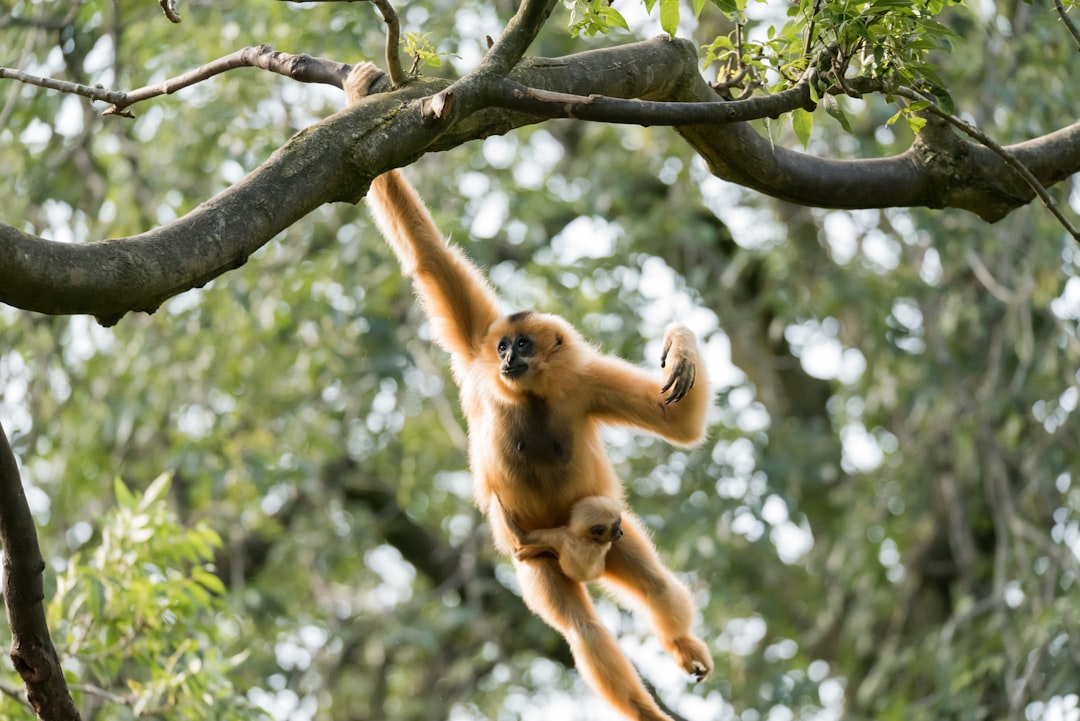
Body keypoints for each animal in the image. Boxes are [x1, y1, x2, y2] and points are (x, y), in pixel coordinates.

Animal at [346, 63, 713, 721]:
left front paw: (682, 344)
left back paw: (680, 645)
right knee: (581, 628)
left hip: (611, 532)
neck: (530, 396)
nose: (509, 358)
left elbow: (681, 427)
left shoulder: (584, 380)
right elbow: (425, 255)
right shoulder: (473, 355)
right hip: (542, 557)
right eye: (502, 348)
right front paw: (363, 95)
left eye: (522, 346)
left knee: (652, 582)